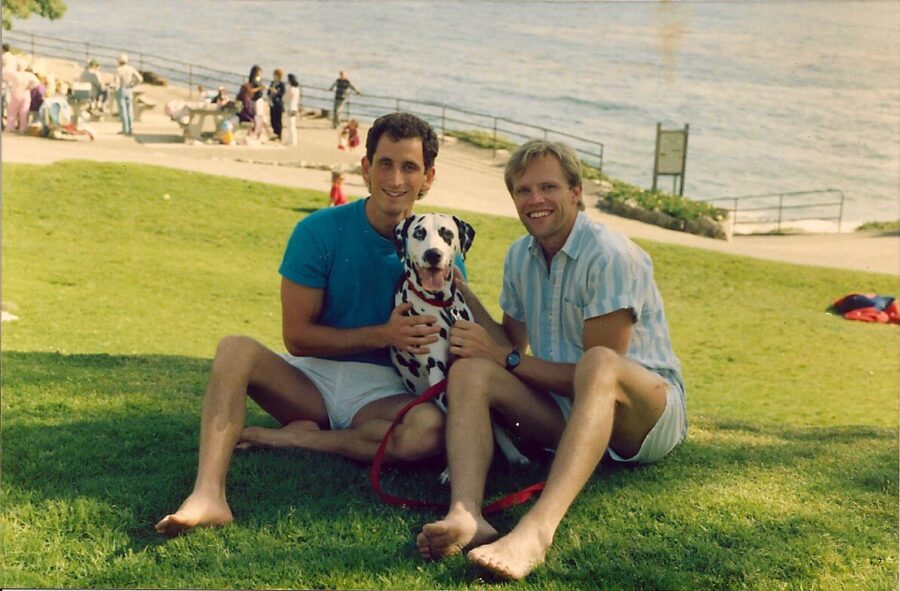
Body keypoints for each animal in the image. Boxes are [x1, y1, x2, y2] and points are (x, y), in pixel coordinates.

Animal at [392, 212, 532, 476]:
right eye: (419, 233)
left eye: (447, 233)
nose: (433, 254)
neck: (443, 306)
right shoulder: (437, 371)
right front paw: (450, 468)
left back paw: (514, 453)